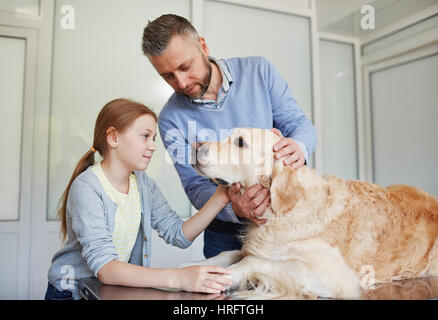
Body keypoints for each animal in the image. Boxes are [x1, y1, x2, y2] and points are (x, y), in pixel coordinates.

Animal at [187, 127, 438, 300]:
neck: (285, 210)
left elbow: (253, 261)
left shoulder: (336, 276)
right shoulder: (262, 244)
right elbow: (227, 254)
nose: (194, 145)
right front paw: (193, 267)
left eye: (240, 142)